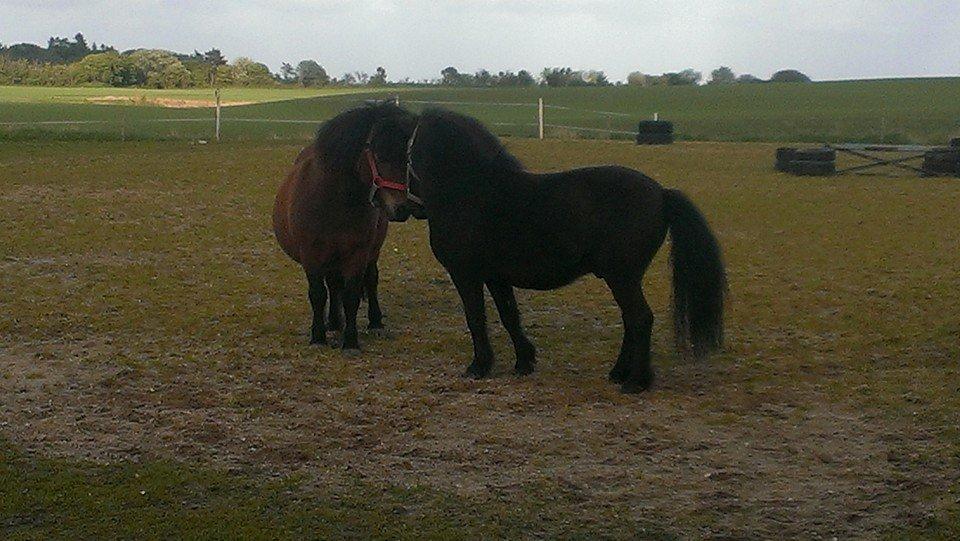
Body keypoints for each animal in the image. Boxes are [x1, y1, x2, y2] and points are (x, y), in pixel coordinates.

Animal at [272, 102, 418, 350]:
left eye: (406, 157)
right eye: (379, 154)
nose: (401, 208)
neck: (333, 200)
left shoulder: (357, 254)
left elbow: (351, 295)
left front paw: (350, 341)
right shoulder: (311, 255)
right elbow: (318, 294)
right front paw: (318, 336)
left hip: (371, 251)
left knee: (370, 279)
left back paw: (374, 321)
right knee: (333, 285)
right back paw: (332, 322)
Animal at [394, 108, 724, 392]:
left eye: (403, 154)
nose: (399, 209)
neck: (470, 192)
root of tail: (662, 194)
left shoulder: (466, 274)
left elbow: (476, 318)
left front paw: (479, 367)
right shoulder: (496, 277)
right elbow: (509, 315)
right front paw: (523, 362)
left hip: (623, 277)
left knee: (640, 319)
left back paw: (635, 382)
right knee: (632, 321)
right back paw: (619, 373)